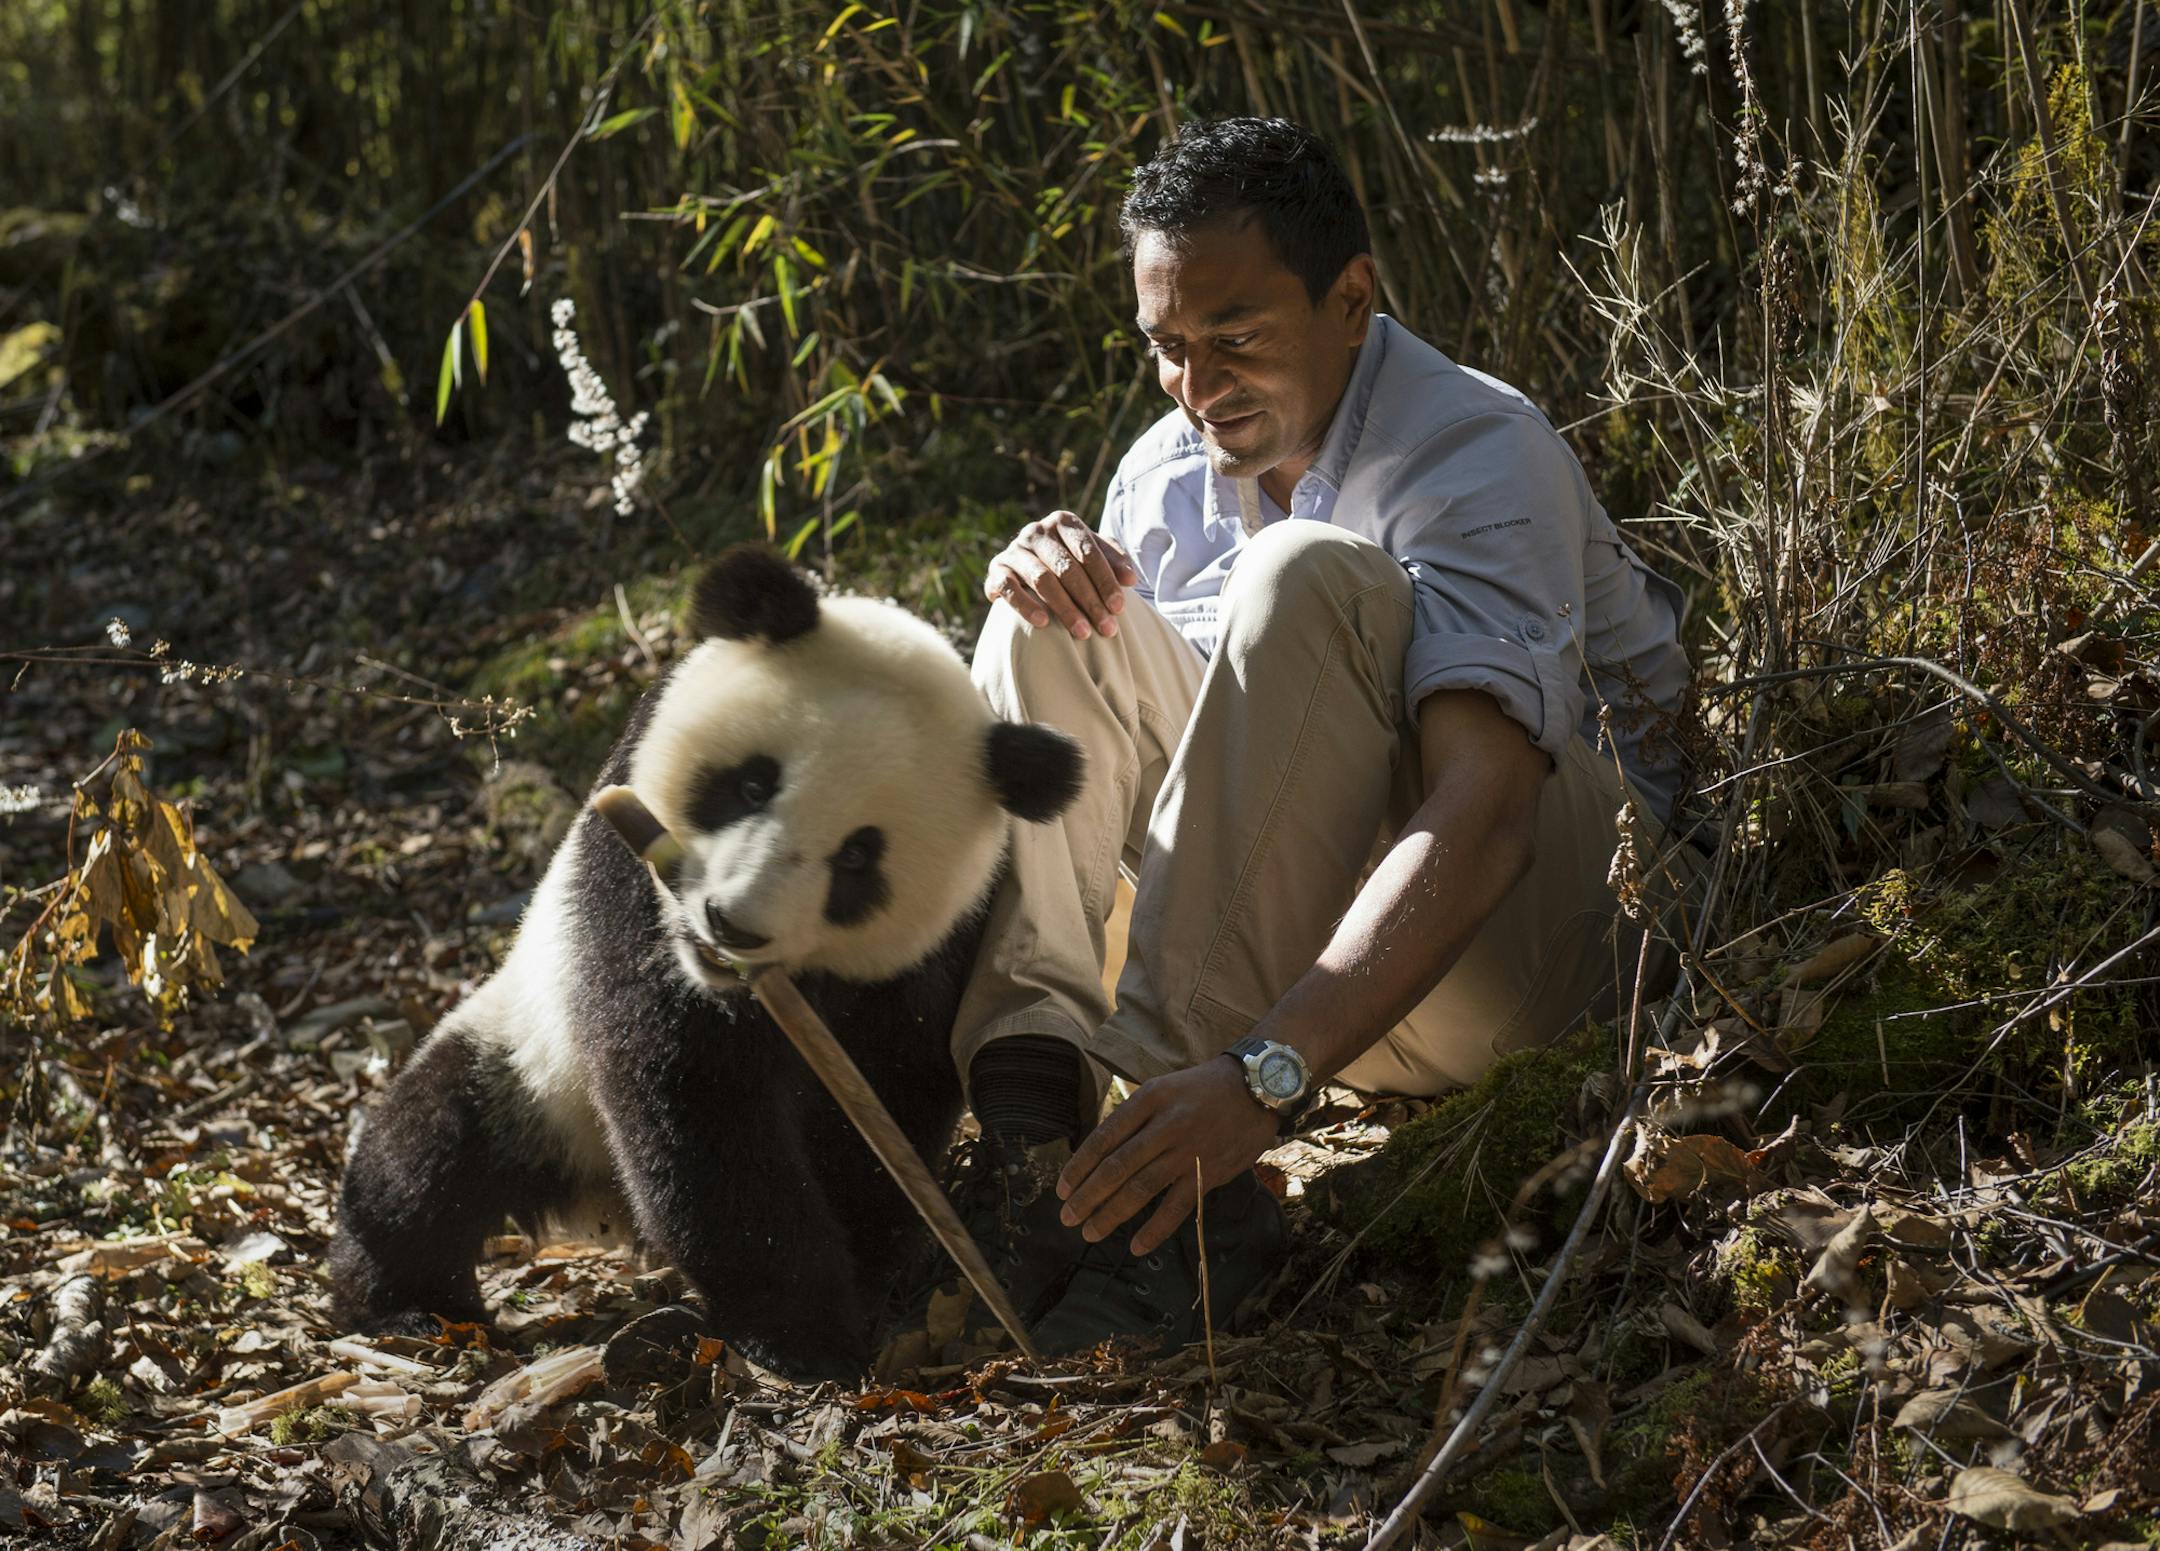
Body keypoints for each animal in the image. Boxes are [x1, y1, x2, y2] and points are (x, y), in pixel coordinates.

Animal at [327, 545, 1083, 1380]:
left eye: (858, 859)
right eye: (751, 783)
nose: (732, 925)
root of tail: (603, 1200)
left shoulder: (939, 941)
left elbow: (882, 1096)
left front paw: (854, 1288)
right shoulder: (629, 876)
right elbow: (696, 1093)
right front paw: (802, 1329)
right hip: (531, 1061)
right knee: (429, 1151)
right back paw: (406, 1304)